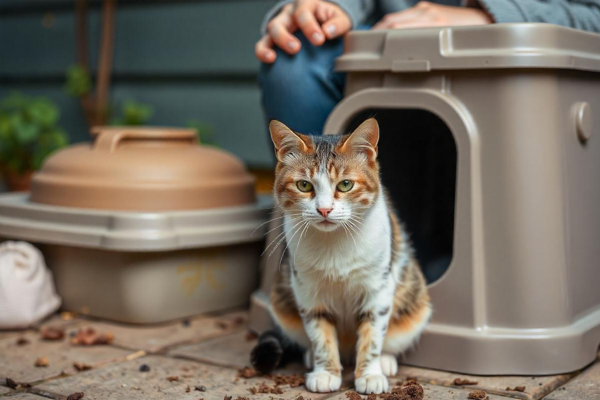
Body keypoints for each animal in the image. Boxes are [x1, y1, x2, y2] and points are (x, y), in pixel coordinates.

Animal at [252, 118, 432, 394]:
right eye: (304, 185)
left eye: (345, 185)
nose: (324, 209)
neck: (334, 243)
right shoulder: (308, 291)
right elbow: (320, 335)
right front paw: (325, 372)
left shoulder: (378, 288)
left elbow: (372, 335)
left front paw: (369, 375)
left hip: (414, 301)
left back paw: (385, 361)